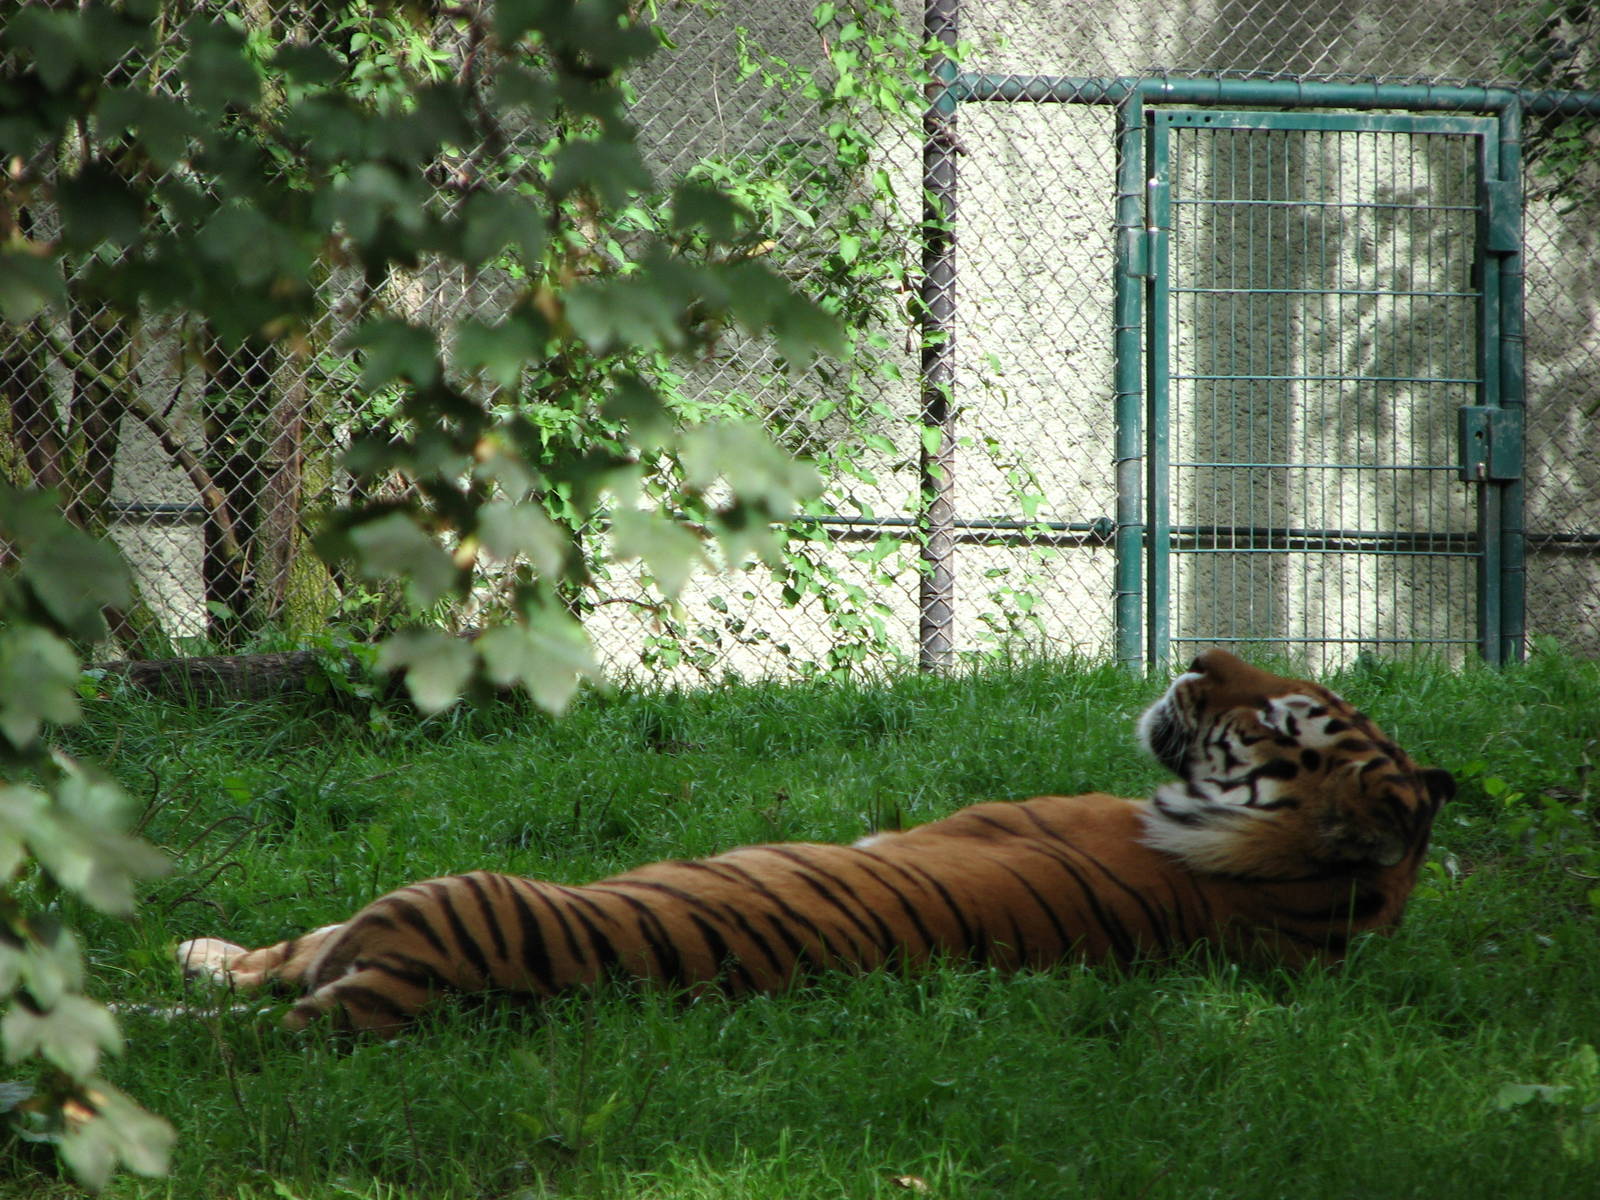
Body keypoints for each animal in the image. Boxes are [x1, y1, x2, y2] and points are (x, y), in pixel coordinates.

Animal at [176, 649, 1453, 1031]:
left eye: (1273, 718)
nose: (1192, 658)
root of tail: (423, 989)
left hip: (428, 896)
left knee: (284, 962)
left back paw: (195, 962)